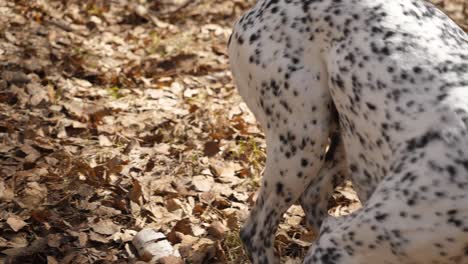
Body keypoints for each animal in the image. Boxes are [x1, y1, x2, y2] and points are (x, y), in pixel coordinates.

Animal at [228, 0, 468, 262]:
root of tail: (258, 9)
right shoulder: (338, 242)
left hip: (348, 140)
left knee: (314, 194)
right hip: (300, 144)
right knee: (255, 233)